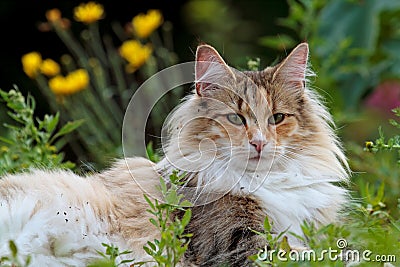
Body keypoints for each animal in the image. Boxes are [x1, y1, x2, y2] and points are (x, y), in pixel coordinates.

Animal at [0, 43, 350, 266]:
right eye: (236, 119)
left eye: (277, 118)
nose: (260, 143)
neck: (265, 181)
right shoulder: (238, 244)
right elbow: (306, 253)